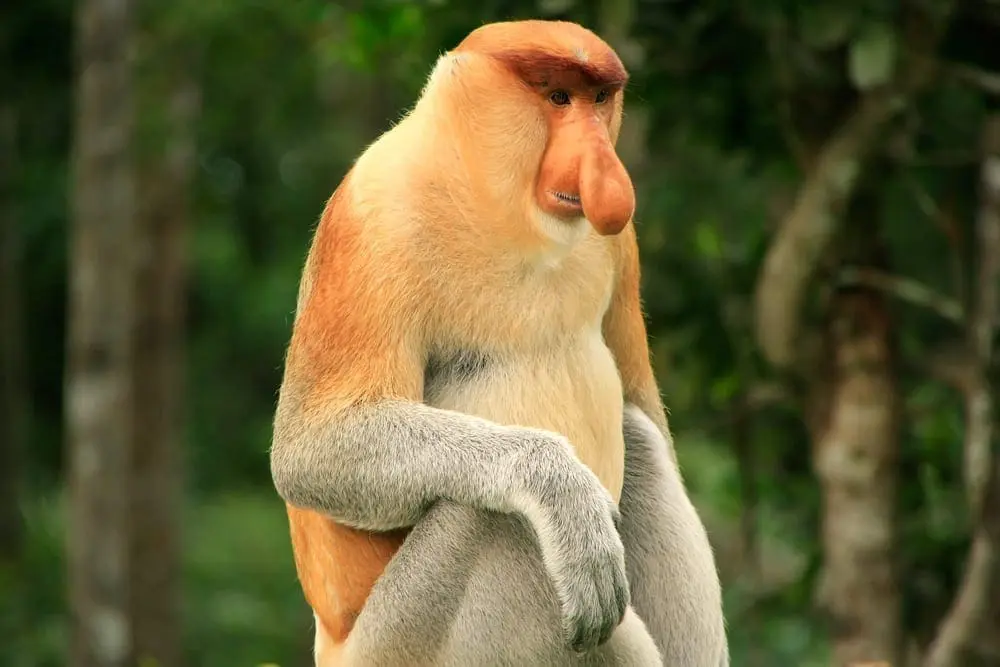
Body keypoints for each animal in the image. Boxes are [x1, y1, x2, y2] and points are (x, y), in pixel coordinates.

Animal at [270, 19, 728, 666]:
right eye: (557, 97)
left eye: (598, 100)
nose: (605, 170)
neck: (501, 207)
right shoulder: (374, 218)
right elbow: (312, 449)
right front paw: (563, 495)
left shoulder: (622, 245)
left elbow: (644, 408)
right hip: (407, 637)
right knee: (499, 523)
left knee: (638, 437)